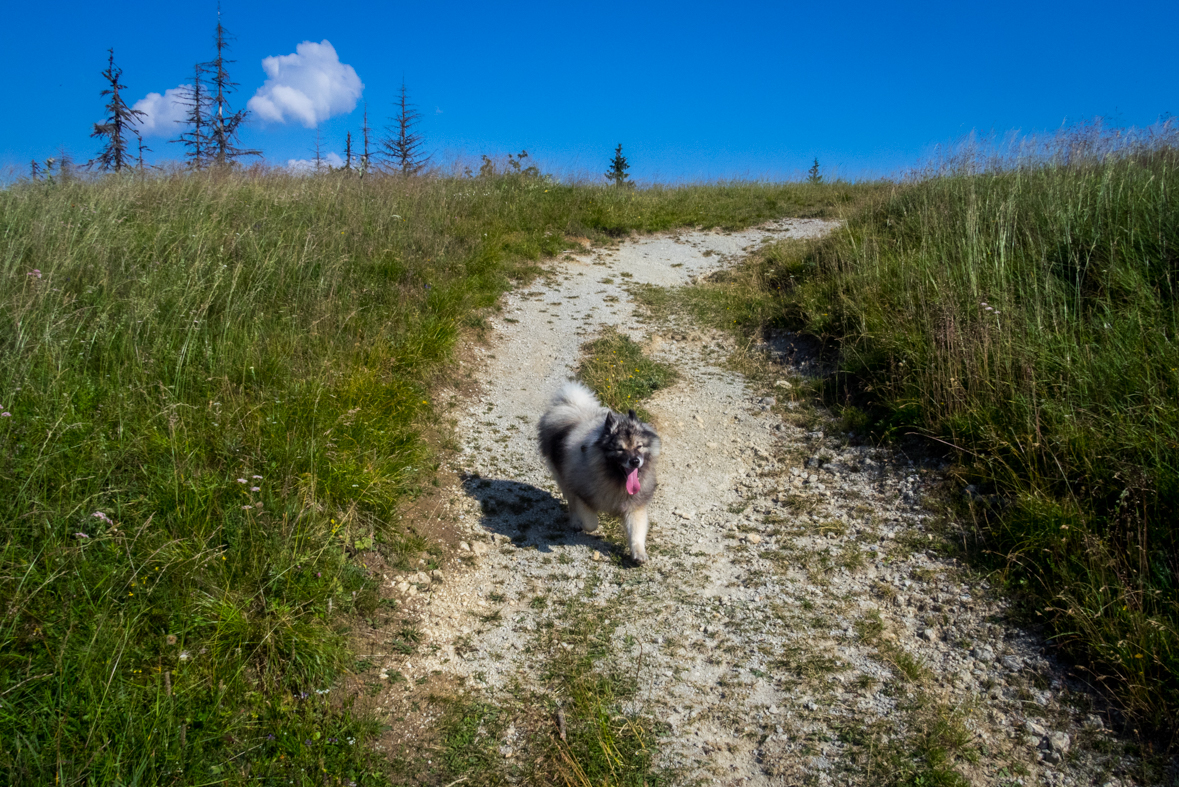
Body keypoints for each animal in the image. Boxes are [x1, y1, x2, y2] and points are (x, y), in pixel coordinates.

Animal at [537, 381, 660, 563]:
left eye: (639, 446)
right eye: (619, 449)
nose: (635, 461)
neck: (615, 480)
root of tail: (572, 407)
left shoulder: (635, 506)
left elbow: (636, 532)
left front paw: (638, 553)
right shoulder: (582, 493)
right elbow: (590, 523)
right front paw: (587, 523)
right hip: (562, 478)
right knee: (571, 503)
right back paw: (575, 522)